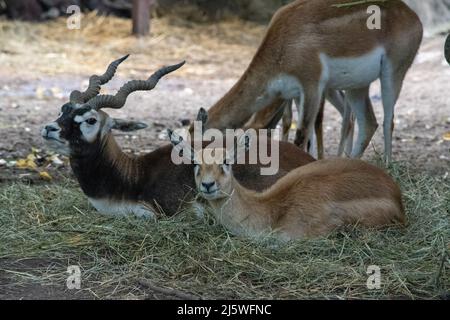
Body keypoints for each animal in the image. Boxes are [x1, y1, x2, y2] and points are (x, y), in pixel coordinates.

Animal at [199, 0, 424, 161]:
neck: (282, 45)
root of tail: (411, 15)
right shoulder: (296, 95)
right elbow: (304, 134)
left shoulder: (312, 87)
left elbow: (302, 134)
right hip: (356, 87)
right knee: (368, 123)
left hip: (391, 75)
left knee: (388, 121)